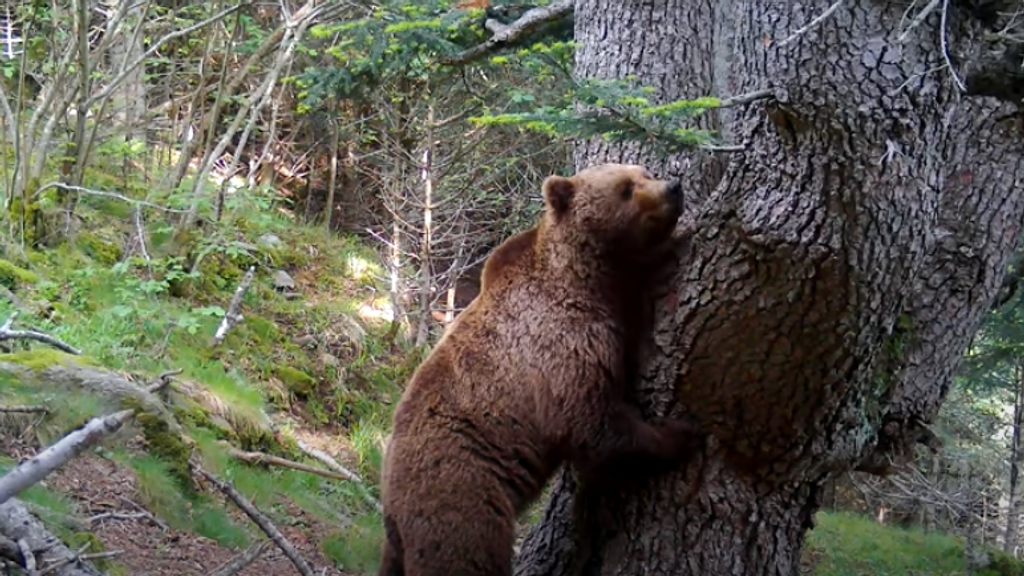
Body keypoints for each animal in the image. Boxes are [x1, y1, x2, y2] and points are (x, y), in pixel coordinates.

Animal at [380, 161, 700, 573]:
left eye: (644, 172)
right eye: (626, 188)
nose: (673, 187)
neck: (591, 280)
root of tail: (391, 505)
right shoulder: (562, 341)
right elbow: (590, 425)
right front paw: (678, 434)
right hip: (460, 492)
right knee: (465, 553)